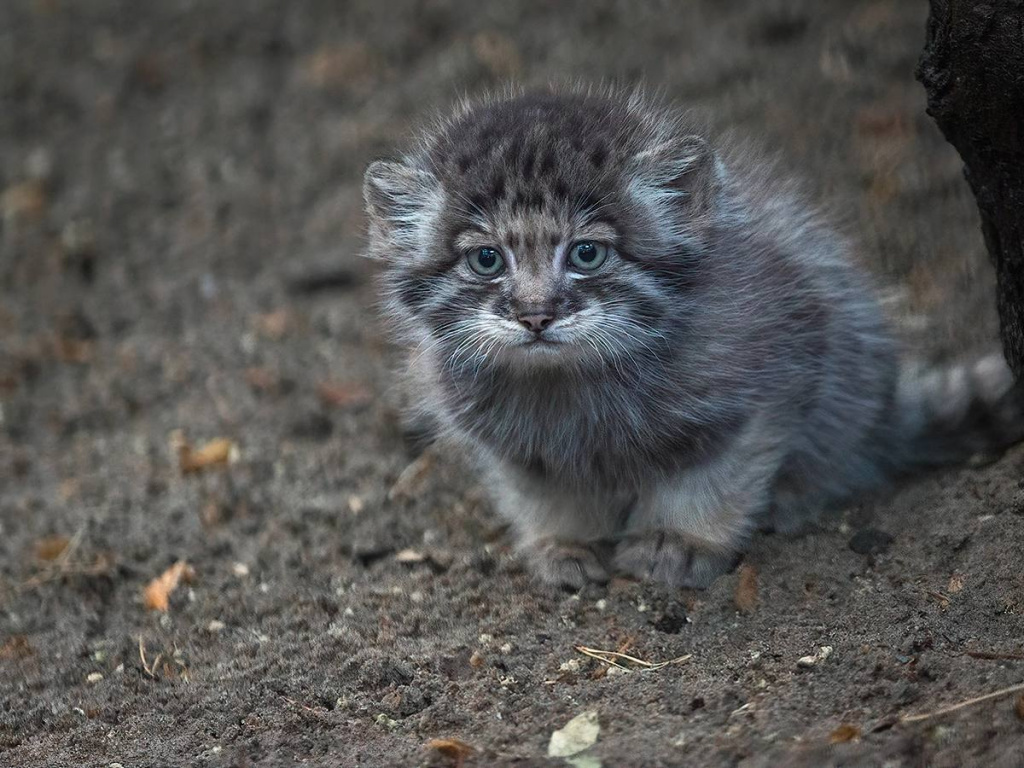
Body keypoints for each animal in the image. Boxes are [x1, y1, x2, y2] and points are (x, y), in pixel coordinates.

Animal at [364, 87, 1019, 589]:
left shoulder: (767, 385)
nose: (535, 315)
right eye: (486, 260)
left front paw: (676, 541)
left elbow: (710, 480)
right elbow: (545, 495)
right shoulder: (514, 446)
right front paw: (563, 544)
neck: (575, 387)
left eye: (586, 253)